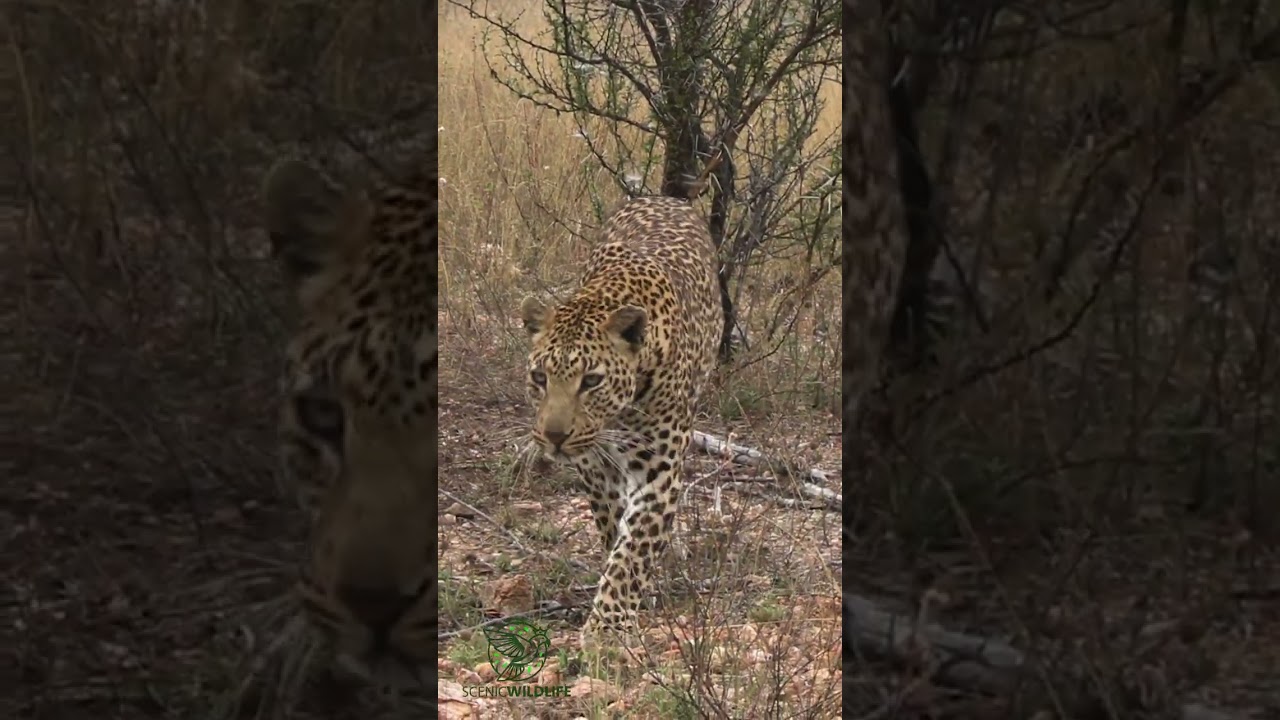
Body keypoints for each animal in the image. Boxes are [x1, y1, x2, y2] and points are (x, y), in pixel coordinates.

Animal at [518, 194, 722, 646]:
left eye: (592, 380)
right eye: (540, 378)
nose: (553, 437)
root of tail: (665, 197)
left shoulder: (658, 471)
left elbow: (634, 549)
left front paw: (608, 626)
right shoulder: (596, 468)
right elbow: (615, 527)